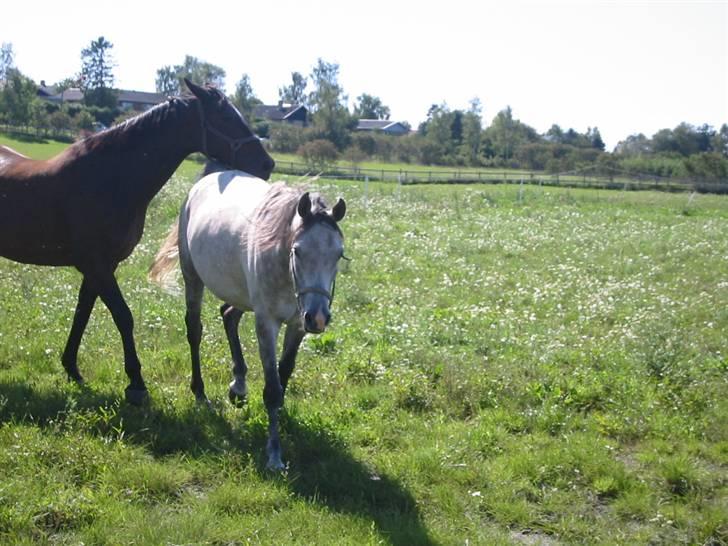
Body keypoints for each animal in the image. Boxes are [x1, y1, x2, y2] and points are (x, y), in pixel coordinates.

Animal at [0, 78, 272, 402]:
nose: (267, 164)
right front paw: (136, 382)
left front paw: (71, 367)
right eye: (225, 116)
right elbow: (123, 316)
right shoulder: (97, 266)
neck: (108, 180)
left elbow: (82, 313)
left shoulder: (102, 267)